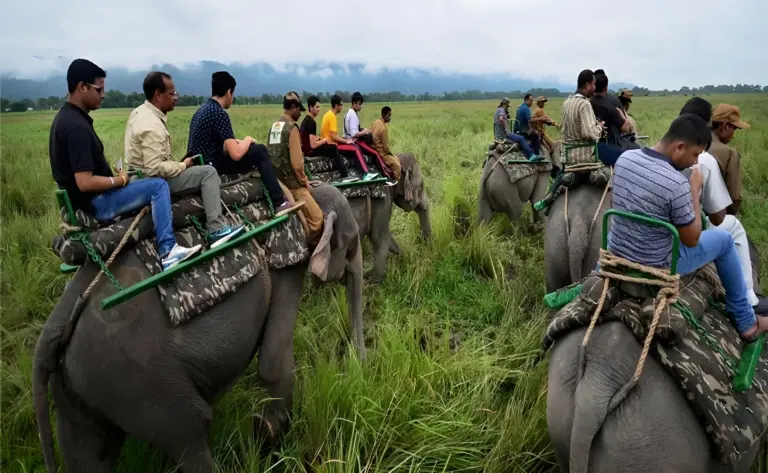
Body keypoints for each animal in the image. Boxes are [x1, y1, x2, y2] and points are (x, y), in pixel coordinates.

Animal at [32, 183, 364, 473]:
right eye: (350, 242)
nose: (360, 364)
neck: (302, 196)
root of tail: (54, 328)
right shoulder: (286, 260)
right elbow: (273, 363)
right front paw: (268, 439)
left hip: (78, 386)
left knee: (87, 454)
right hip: (141, 384)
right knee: (191, 434)